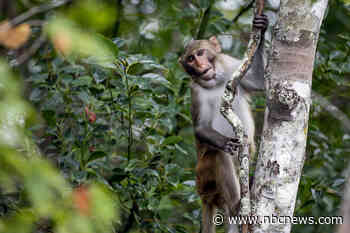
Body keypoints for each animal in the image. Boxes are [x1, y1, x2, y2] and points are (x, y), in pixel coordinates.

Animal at [179, 15, 270, 233]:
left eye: (200, 53)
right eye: (190, 59)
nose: (200, 65)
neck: (215, 81)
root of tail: (203, 196)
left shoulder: (230, 65)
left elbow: (258, 82)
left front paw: (261, 28)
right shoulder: (196, 92)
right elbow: (200, 128)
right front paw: (224, 142)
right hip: (204, 177)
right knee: (217, 155)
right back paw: (238, 205)